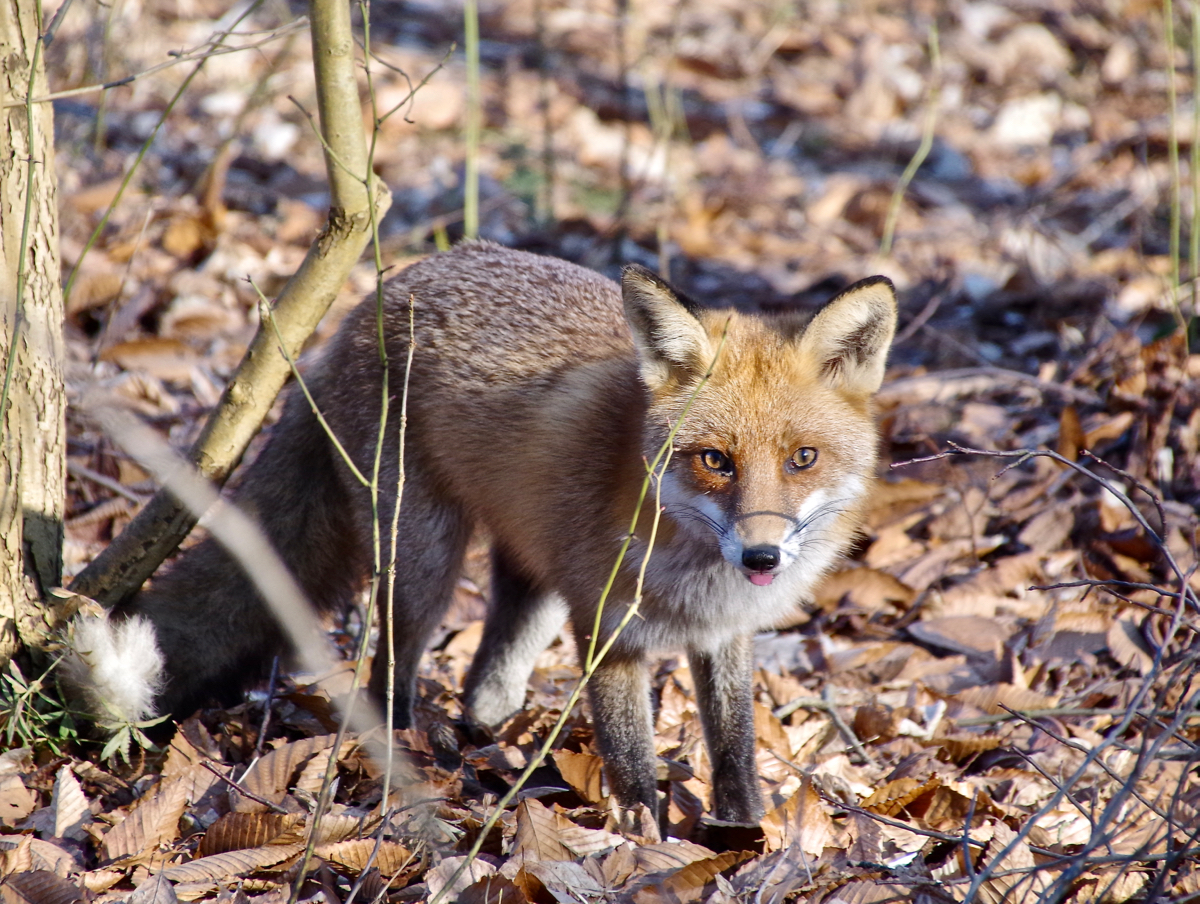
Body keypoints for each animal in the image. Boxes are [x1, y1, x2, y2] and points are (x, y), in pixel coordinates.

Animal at [68, 240, 892, 825]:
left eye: (803, 458)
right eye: (716, 460)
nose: (762, 554)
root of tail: (370, 301)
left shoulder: (722, 634)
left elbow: (734, 745)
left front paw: (743, 834)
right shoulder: (608, 629)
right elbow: (630, 760)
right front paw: (644, 844)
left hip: (531, 574)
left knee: (485, 678)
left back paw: (485, 732)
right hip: (423, 560)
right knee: (391, 668)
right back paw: (403, 755)